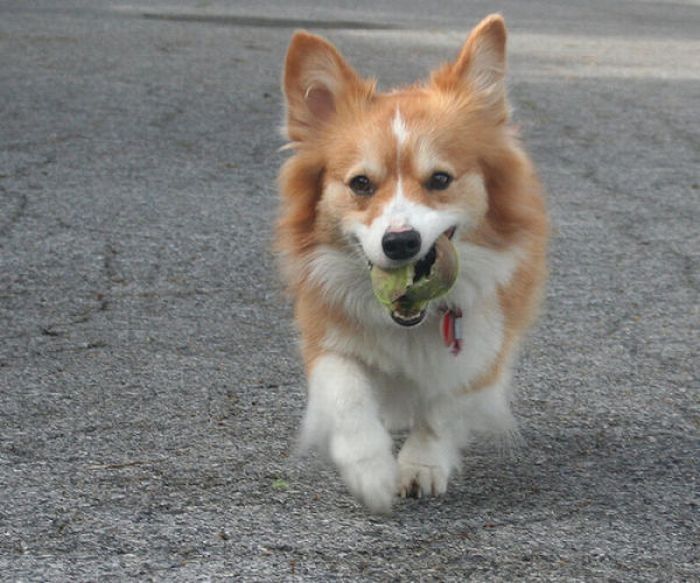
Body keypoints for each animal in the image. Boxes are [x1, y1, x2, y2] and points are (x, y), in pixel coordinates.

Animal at [276, 13, 548, 512]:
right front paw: (370, 469)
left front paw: (421, 465)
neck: (407, 322)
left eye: (440, 179)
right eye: (360, 184)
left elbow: (444, 408)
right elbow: (346, 393)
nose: (400, 242)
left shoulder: (484, 345)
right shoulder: (325, 332)